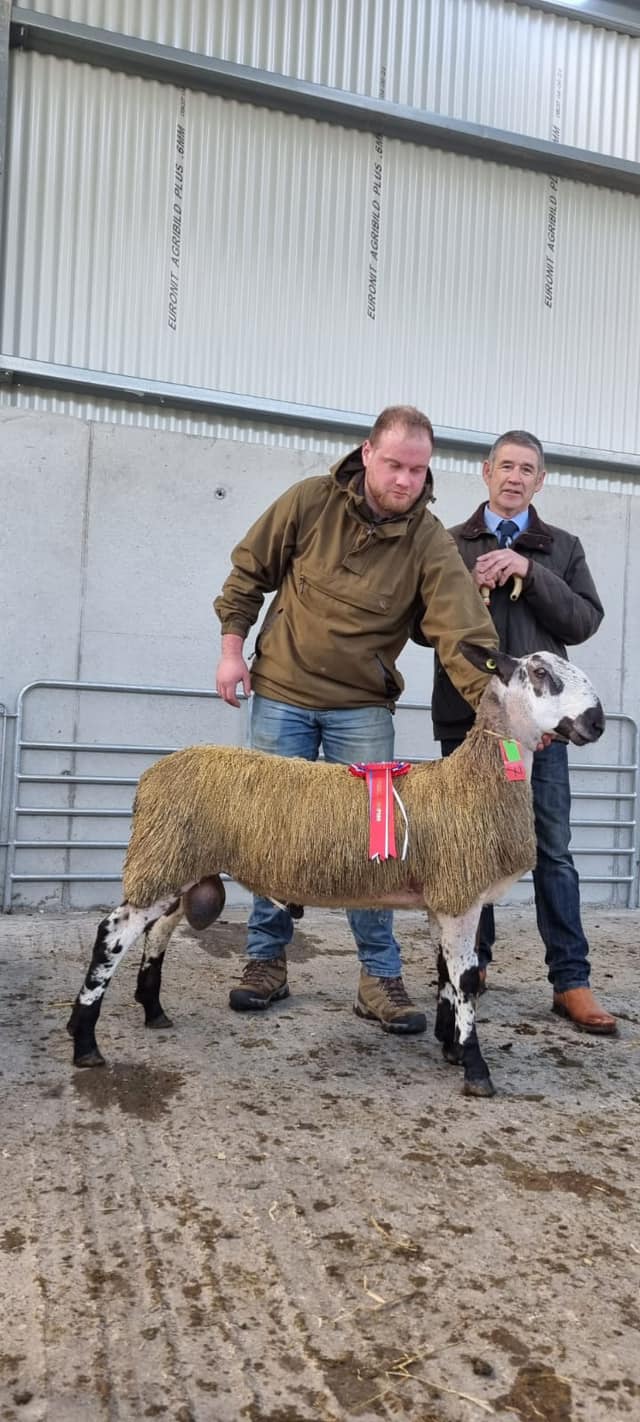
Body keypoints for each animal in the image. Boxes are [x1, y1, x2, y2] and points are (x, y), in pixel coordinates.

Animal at [66, 645, 605, 1097]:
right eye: (541, 674)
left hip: (179, 865)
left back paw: (153, 1011)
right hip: (162, 856)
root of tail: (152, 775)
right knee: (112, 933)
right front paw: (476, 1070)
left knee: (157, 932)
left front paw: (451, 1047)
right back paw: (84, 1041)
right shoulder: (459, 895)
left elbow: (448, 979)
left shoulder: (445, 897)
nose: (597, 721)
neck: (475, 780)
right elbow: (467, 981)